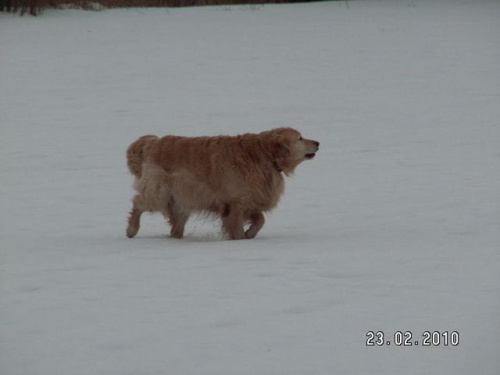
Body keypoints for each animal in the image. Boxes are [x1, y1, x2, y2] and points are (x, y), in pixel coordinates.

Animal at [126, 128, 320, 241]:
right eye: (300, 138)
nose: (318, 142)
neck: (263, 156)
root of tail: (153, 142)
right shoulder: (234, 203)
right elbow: (237, 227)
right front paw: (240, 238)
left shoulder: (249, 200)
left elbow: (260, 220)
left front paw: (250, 233)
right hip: (159, 192)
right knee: (138, 203)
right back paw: (132, 229)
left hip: (183, 199)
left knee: (176, 224)